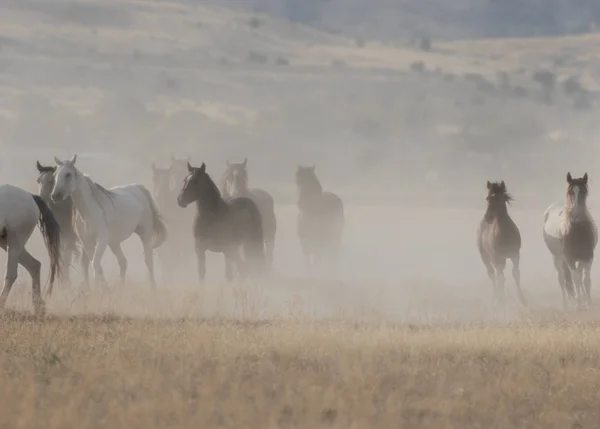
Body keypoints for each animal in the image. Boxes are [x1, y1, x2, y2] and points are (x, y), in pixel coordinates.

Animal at [0, 183, 62, 314]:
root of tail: (31, 197)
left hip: (15, 241)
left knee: (11, 274)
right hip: (7, 243)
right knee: (34, 265)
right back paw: (38, 306)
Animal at [51, 154, 168, 288]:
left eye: (68, 174)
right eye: (55, 175)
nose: (55, 196)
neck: (88, 211)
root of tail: (138, 188)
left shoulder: (101, 240)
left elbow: (95, 264)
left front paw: (97, 288)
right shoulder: (87, 243)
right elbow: (97, 265)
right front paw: (104, 289)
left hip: (145, 233)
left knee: (148, 261)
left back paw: (153, 288)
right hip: (114, 242)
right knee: (123, 262)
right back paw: (121, 288)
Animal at [540, 172, 596, 310]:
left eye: (583, 192)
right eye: (570, 192)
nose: (575, 216)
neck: (577, 231)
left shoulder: (588, 257)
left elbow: (586, 280)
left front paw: (588, 303)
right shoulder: (570, 258)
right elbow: (576, 279)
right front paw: (579, 304)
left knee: (578, 276)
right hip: (557, 257)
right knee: (561, 278)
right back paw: (565, 304)